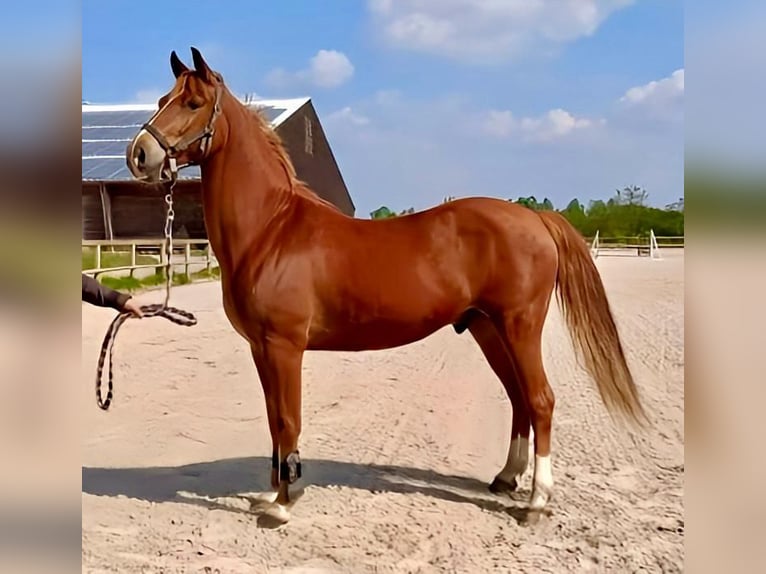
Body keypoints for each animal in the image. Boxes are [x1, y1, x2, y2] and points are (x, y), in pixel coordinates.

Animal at [126, 48, 648, 528]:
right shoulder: (261, 348)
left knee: (540, 400)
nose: (140, 155)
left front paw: (284, 505)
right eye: (162, 99)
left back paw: (537, 502)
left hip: (519, 326)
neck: (271, 230)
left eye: (193, 103)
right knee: (520, 398)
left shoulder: (284, 347)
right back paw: (505, 479)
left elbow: (289, 419)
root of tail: (534, 217)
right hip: (488, 329)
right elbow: (275, 421)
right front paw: (273, 494)